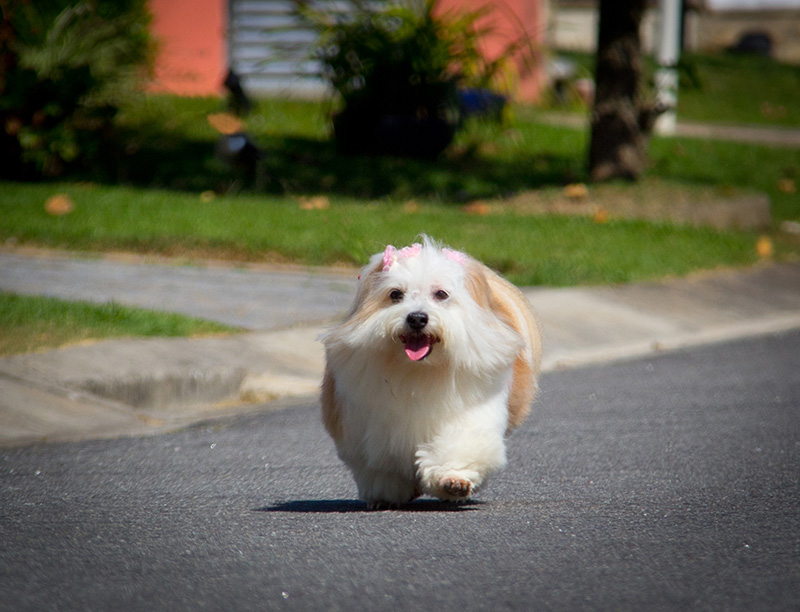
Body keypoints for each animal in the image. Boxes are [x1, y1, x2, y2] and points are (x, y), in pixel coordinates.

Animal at [322, 237, 540, 510]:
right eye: (395, 294)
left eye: (441, 294)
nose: (417, 317)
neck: (419, 370)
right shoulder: (370, 428)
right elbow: (381, 465)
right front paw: (386, 495)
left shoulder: (471, 414)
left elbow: (461, 444)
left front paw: (453, 480)